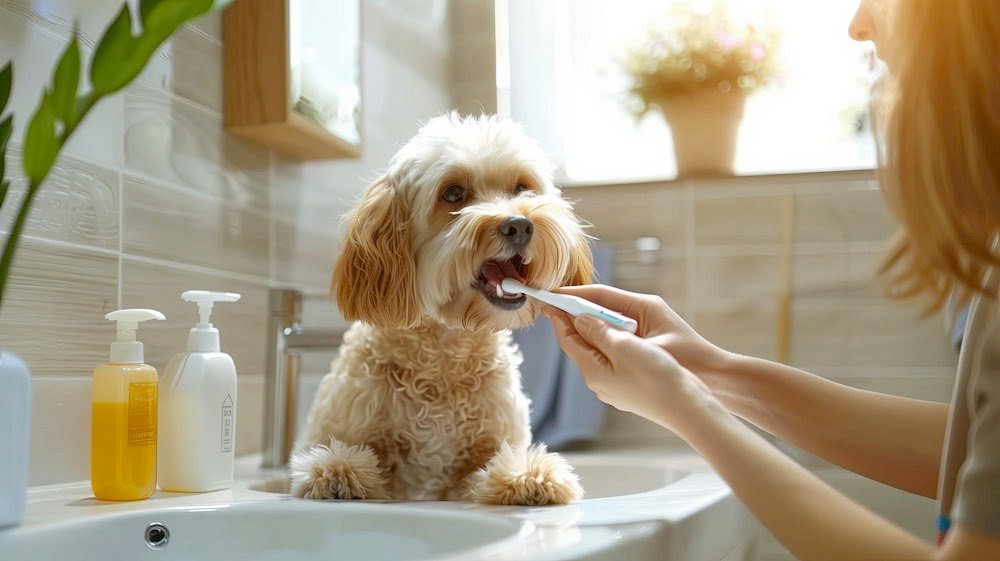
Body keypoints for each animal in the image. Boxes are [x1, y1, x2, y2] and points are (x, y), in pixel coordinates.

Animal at [292, 112, 592, 504]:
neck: (443, 358)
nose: (520, 225)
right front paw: (337, 471)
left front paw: (528, 475)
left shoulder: (484, 449)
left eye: (522, 188)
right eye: (453, 194)